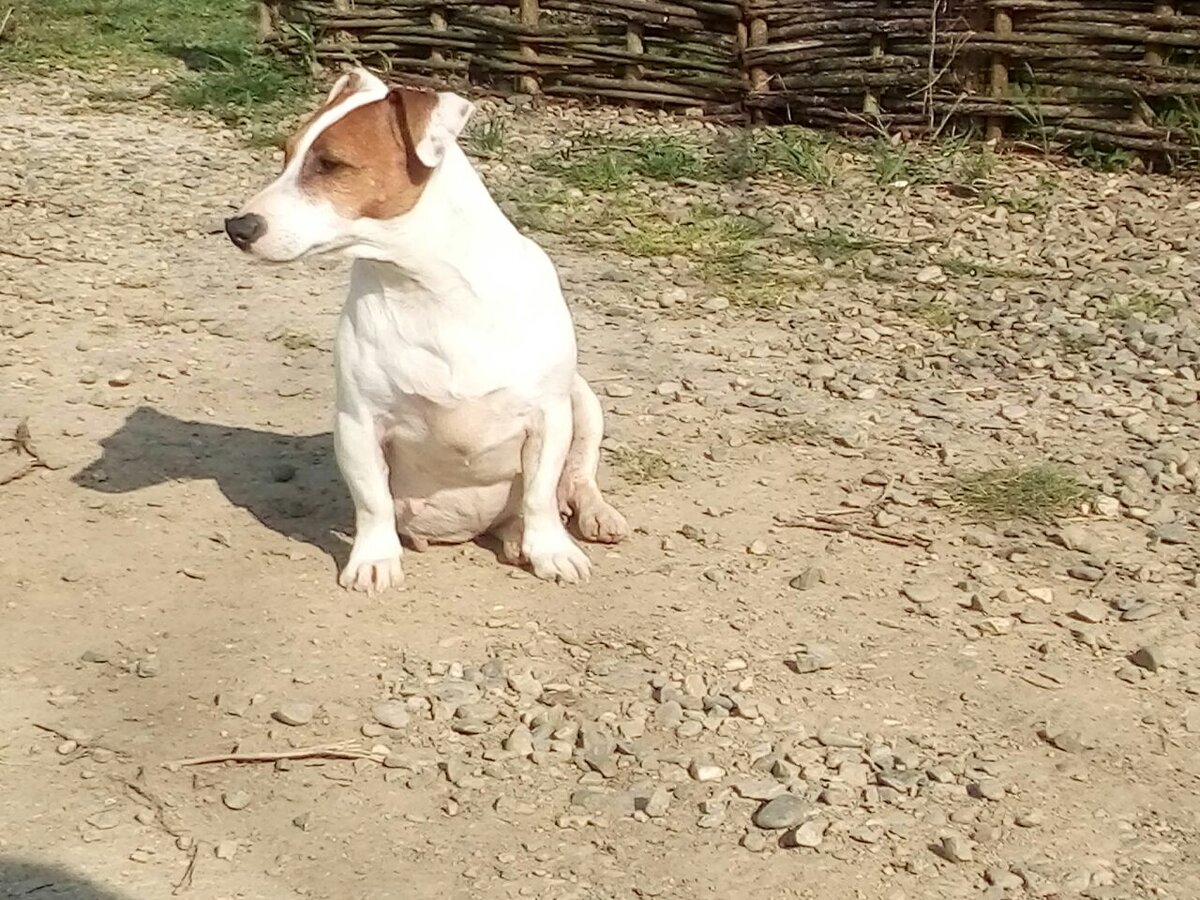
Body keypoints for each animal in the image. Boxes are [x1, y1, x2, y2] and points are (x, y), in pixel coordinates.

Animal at [224, 68, 628, 592]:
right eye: (285, 154)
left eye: (330, 164)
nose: (236, 226)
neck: (429, 287)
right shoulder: (359, 422)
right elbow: (373, 501)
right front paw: (375, 559)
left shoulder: (549, 415)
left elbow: (541, 494)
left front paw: (552, 551)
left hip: (584, 400)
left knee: (577, 477)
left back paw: (590, 518)